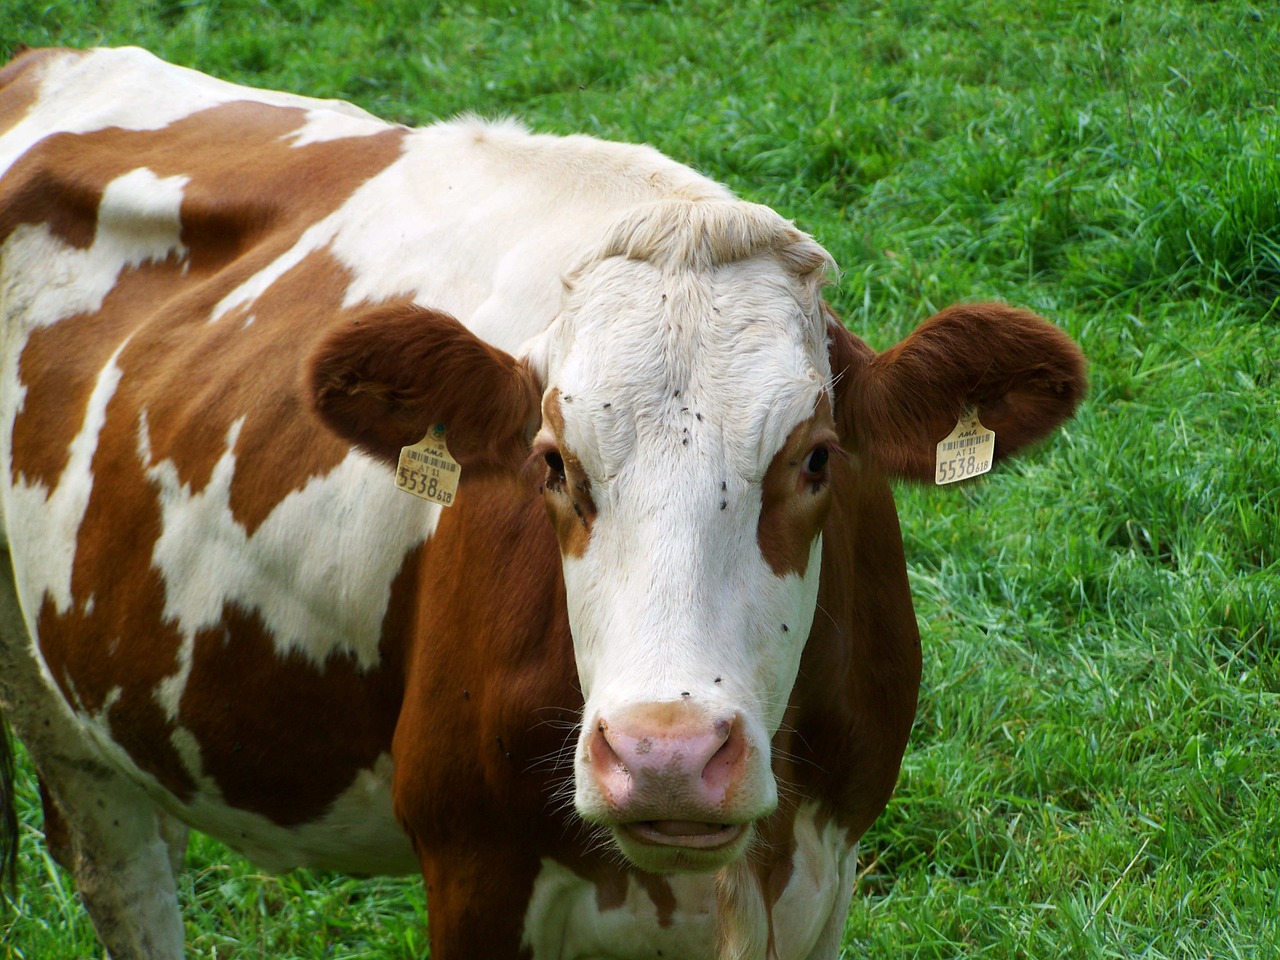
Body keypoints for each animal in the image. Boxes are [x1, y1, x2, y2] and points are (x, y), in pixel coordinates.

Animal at [0, 47, 1080, 960]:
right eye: (552, 465)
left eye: (817, 459)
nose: (665, 755)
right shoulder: (472, 868)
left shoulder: (824, 875)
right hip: (49, 697)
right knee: (121, 872)